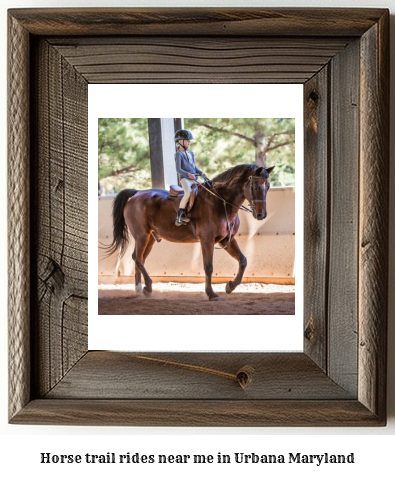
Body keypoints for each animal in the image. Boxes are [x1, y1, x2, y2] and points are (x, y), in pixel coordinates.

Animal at [107, 162, 276, 300]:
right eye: (255, 187)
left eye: (268, 187)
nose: (261, 215)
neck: (220, 203)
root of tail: (137, 193)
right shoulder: (207, 241)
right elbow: (208, 267)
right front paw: (211, 293)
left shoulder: (226, 240)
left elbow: (243, 260)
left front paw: (230, 286)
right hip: (142, 236)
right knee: (138, 258)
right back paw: (148, 286)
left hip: (150, 238)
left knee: (139, 259)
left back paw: (140, 289)